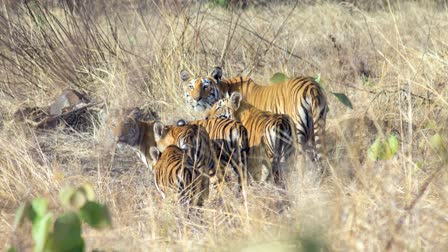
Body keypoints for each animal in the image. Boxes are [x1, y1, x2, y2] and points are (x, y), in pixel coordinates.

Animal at [179, 68, 328, 164]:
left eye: (205, 86)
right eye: (191, 87)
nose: (196, 99)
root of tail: (311, 86)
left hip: (297, 132)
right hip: (316, 129)